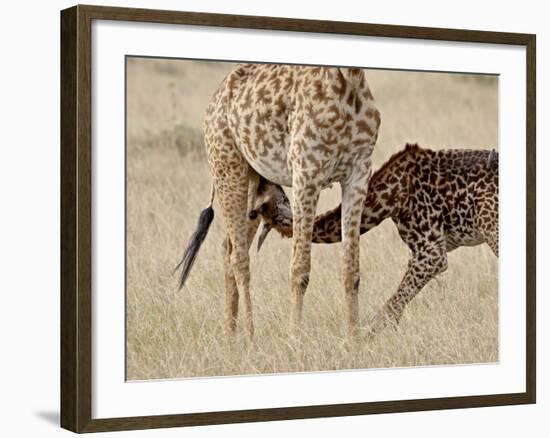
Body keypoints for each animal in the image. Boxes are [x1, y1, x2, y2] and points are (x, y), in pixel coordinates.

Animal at [179, 63, 382, 338]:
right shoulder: (307, 174)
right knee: (239, 258)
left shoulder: (359, 174)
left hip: (253, 184)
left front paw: (354, 341)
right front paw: (295, 340)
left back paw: (230, 338)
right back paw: (250, 339)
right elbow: (300, 270)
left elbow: (351, 270)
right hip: (228, 169)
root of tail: (216, 98)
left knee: (228, 247)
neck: (348, 80)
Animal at [254, 145, 500, 336]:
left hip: (491, 229)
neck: (390, 198)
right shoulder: (422, 251)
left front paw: (358, 341)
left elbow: (389, 310)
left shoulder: (431, 252)